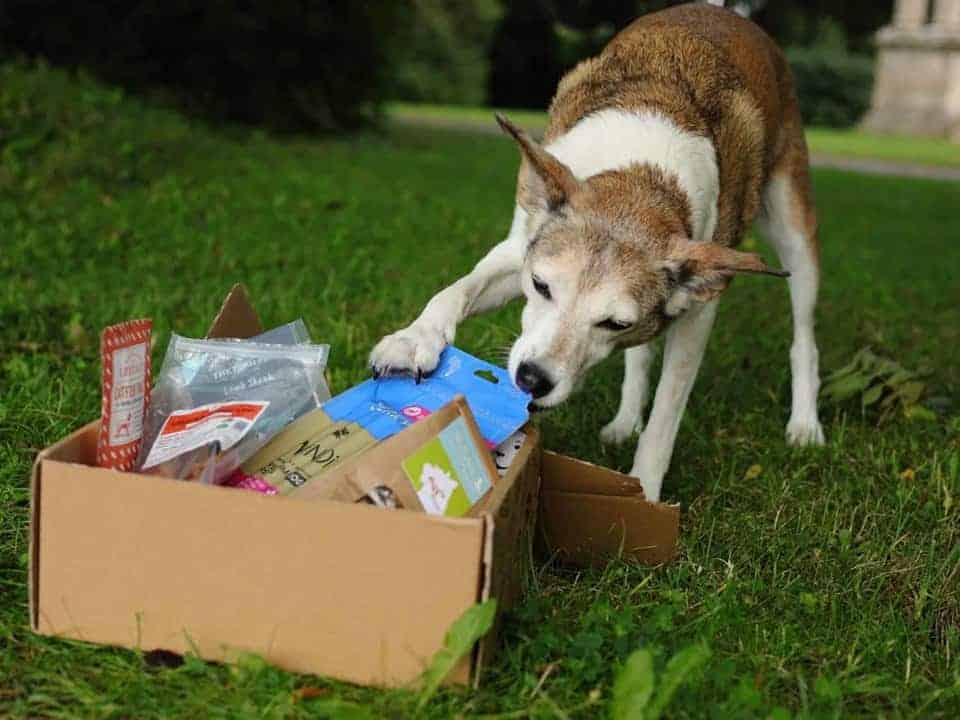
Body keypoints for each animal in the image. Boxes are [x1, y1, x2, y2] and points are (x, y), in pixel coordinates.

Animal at [372, 4, 820, 500]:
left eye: (614, 323)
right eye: (541, 286)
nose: (533, 380)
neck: (641, 178)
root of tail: (722, 11)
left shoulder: (698, 312)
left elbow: (666, 417)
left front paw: (644, 493)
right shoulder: (521, 249)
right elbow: (457, 290)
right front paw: (414, 340)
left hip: (794, 231)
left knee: (804, 335)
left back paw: (804, 425)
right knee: (640, 357)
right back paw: (624, 422)